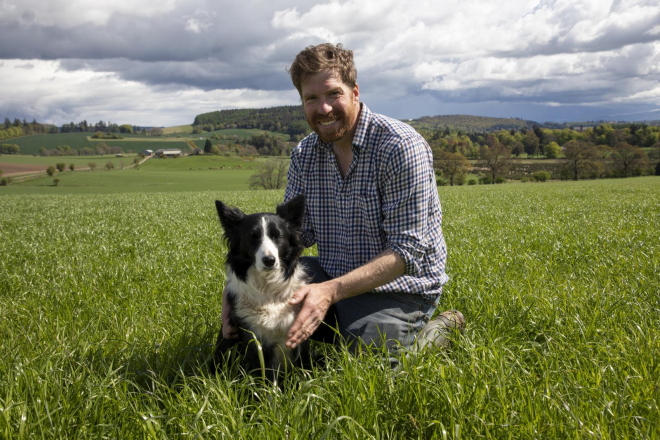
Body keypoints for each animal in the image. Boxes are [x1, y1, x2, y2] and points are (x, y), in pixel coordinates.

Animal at [215, 196, 310, 382]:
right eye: (252, 238)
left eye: (277, 236)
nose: (269, 260)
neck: (268, 289)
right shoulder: (256, 341)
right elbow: (267, 379)